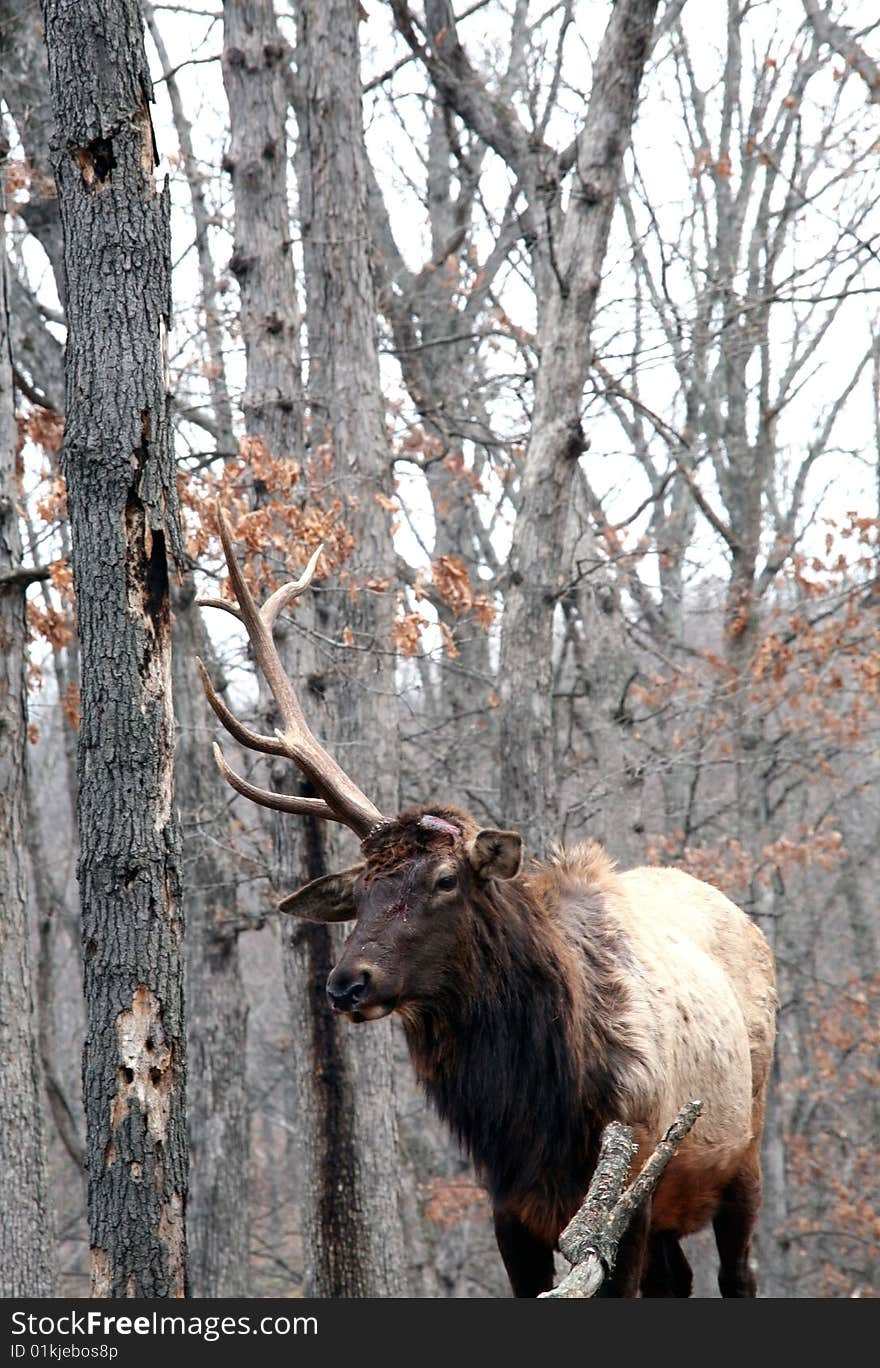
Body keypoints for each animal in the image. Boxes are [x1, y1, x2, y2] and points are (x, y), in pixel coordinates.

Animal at [198, 508, 777, 1296]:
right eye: (360, 894)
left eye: (445, 882)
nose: (347, 983)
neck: (540, 1110)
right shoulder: (510, 1206)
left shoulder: (629, 1179)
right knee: (681, 1279)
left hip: (741, 1149)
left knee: (739, 1271)